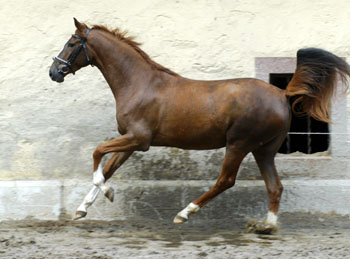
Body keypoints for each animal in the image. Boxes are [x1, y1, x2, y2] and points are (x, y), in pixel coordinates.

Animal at [49, 17, 350, 234]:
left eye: (72, 43)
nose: (53, 72)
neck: (139, 83)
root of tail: (282, 94)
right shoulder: (132, 142)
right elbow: (108, 168)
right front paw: (82, 209)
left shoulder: (139, 139)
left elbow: (98, 153)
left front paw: (108, 194)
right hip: (263, 150)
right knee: (274, 186)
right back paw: (266, 226)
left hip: (239, 144)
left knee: (226, 180)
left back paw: (185, 213)